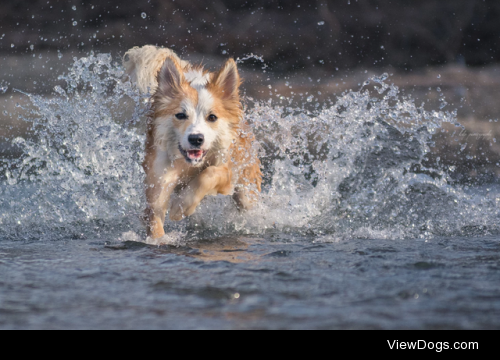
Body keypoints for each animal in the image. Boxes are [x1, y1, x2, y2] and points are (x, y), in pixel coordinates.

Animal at [122, 46, 262, 240]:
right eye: (181, 115)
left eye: (212, 117)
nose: (196, 139)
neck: (188, 165)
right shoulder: (159, 176)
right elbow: (155, 214)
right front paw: (159, 238)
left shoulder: (226, 169)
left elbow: (208, 175)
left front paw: (180, 207)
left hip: (247, 187)